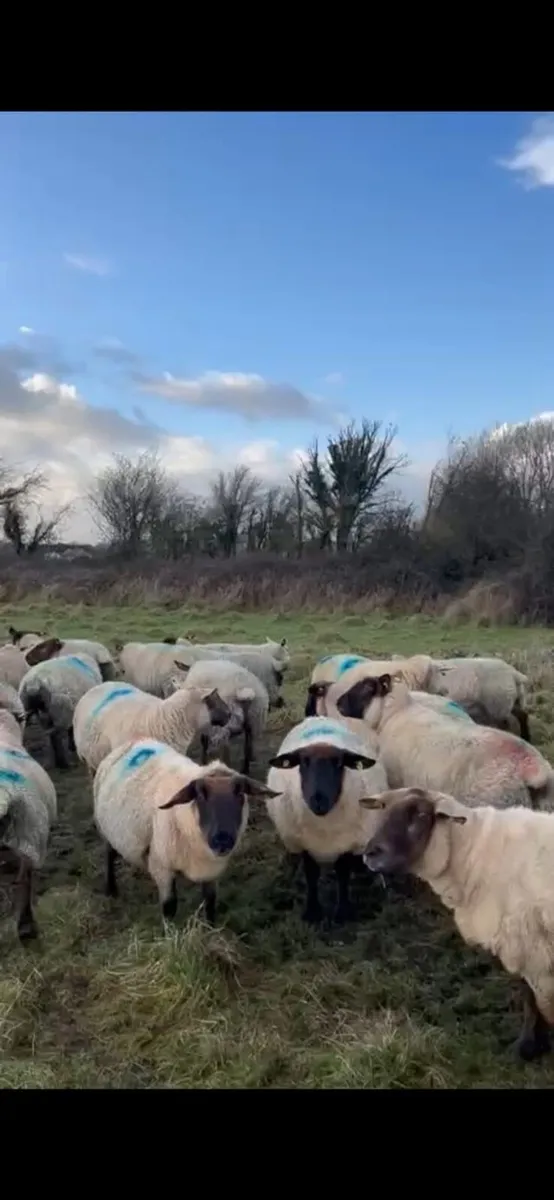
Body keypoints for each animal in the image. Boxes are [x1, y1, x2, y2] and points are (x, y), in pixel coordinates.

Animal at [93, 737, 279, 925]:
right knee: (109, 854)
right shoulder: (162, 867)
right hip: (105, 827)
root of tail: (136, 741)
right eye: (200, 795)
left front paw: (210, 927)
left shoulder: (211, 871)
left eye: (240, 794)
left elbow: (210, 902)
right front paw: (170, 931)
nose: (222, 841)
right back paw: (111, 890)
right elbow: (169, 907)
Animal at [265, 715, 387, 924]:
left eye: (339, 763)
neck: (324, 828)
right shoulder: (304, 844)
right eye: (303, 762)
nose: (318, 800)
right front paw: (313, 913)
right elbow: (311, 875)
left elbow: (343, 874)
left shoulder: (347, 844)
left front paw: (343, 913)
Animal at [361, 785, 554, 1062]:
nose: (371, 854)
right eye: (383, 809)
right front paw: (528, 1046)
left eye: (420, 815)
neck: (473, 855)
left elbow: (540, 1004)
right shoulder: (524, 948)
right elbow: (528, 997)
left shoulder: (533, 950)